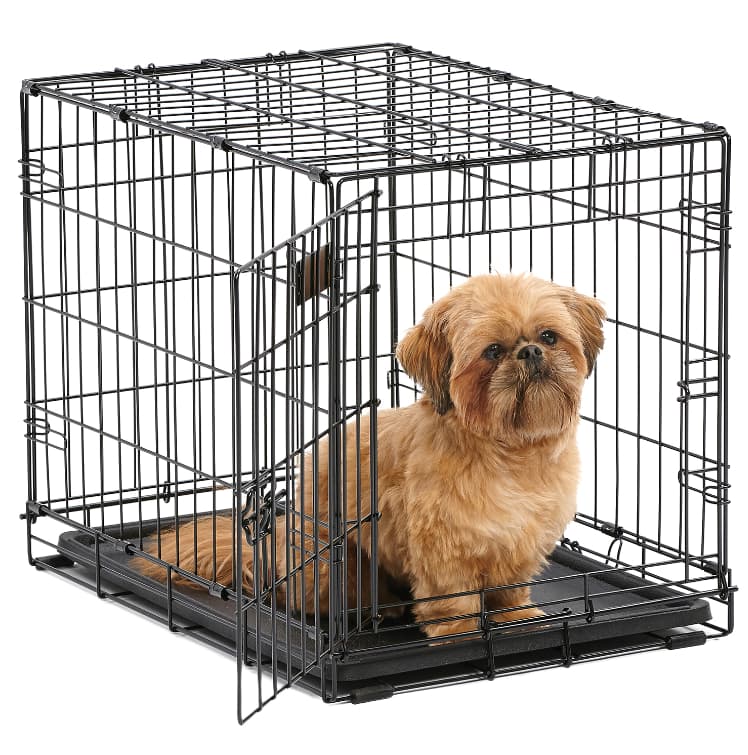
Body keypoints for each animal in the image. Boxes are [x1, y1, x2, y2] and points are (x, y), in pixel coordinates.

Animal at [134, 273, 605, 640]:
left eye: (548, 336)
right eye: (492, 351)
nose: (530, 351)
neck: (510, 453)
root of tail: (271, 544)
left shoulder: (520, 542)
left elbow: (508, 589)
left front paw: (515, 616)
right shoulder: (444, 548)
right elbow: (454, 597)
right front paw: (461, 634)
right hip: (333, 562)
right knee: (312, 599)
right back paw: (375, 608)